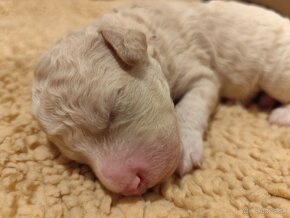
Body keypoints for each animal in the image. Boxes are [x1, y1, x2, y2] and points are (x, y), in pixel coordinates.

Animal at [31, 0, 290, 195]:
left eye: (112, 111)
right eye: (74, 153)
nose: (130, 186)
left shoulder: (200, 74)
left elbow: (190, 108)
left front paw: (186, 148)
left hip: (275, 71)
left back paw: (280, 114)